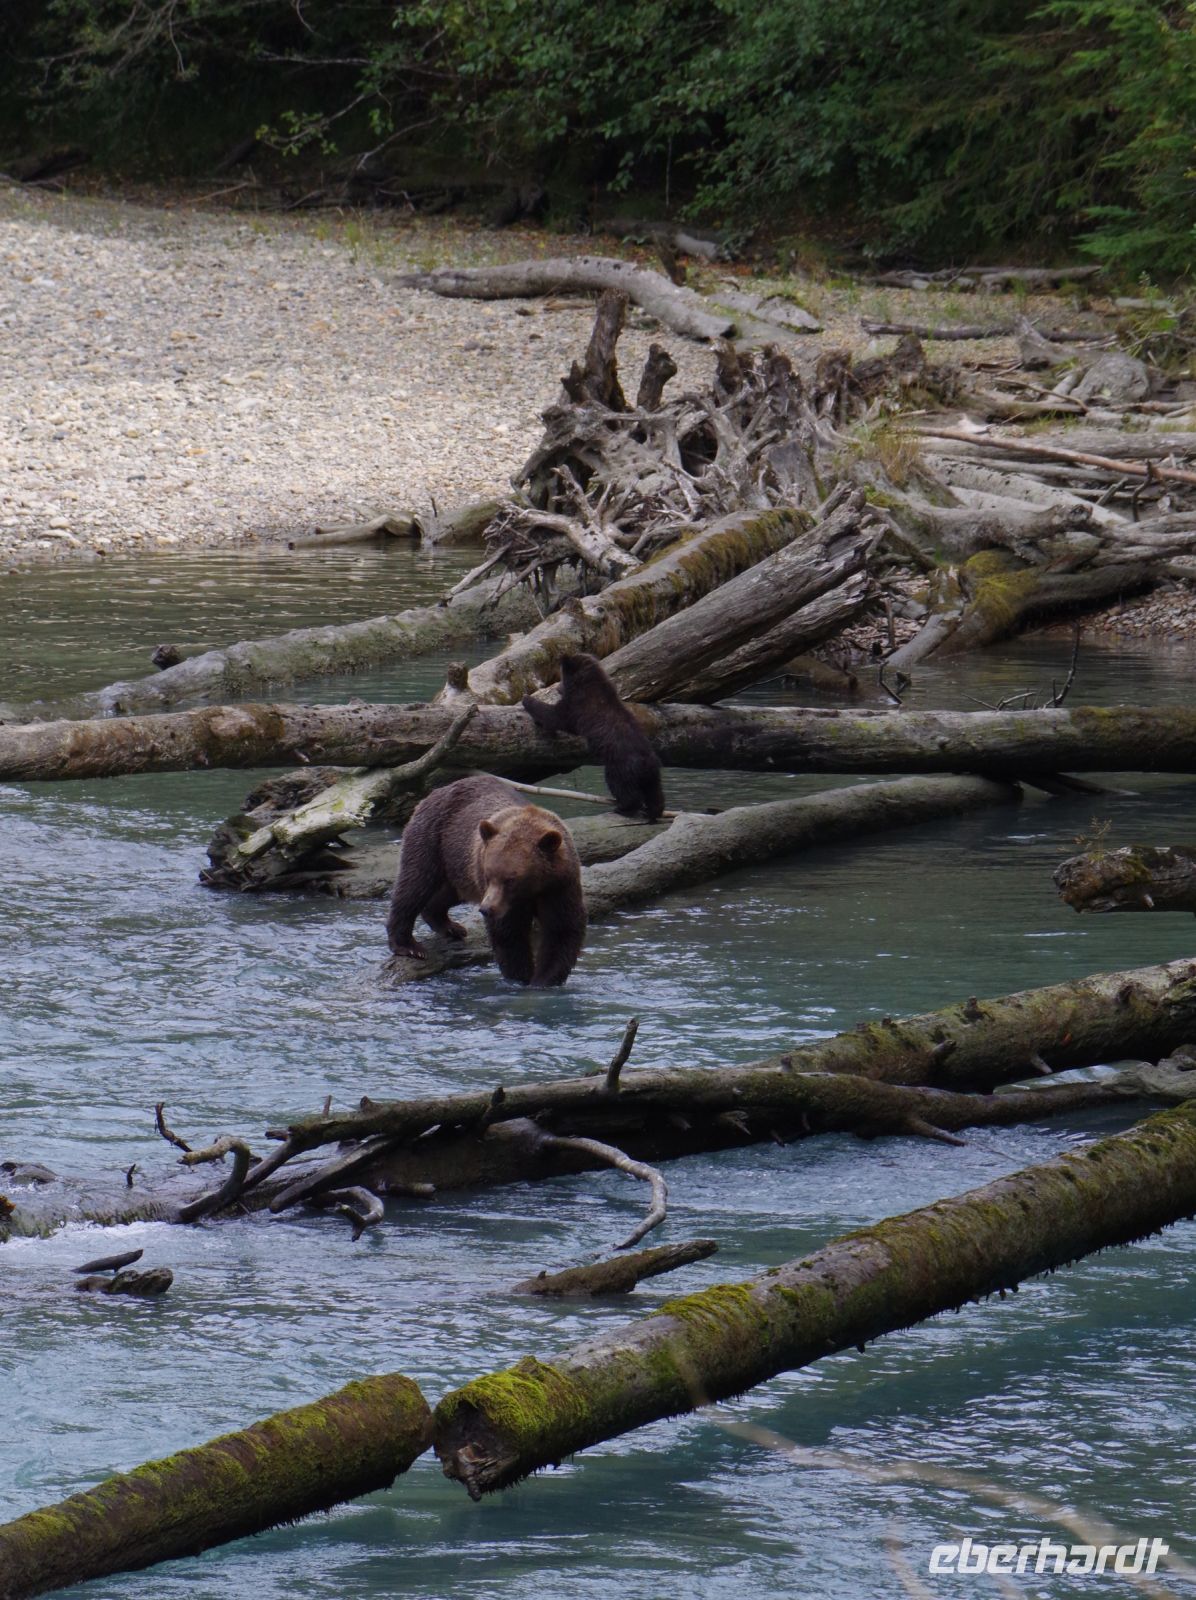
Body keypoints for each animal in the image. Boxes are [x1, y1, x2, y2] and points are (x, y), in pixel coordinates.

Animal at [386, 773, 586, 987]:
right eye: (489, 875)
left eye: (511, 879)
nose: (486, 908)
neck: (535, 888)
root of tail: (437, 790)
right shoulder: (504, 898)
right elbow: (509, 934)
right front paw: (521, 976)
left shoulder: (560, 886)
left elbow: (561, 930)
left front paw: (543, 979)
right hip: (433, 837)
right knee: (415, 884)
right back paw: (409, 945)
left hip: (460, 866)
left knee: (447, 892)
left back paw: (450, 927)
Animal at [521, 652, 666, 821]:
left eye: (561, 676)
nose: (557, 687)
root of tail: (647, 763)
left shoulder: (578, 706)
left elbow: (555, 716)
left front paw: (527, 699)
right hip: (652, 775)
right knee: (654, 793)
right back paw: (653, 812)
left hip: (621, 766)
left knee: (622, 786)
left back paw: (623, 807)